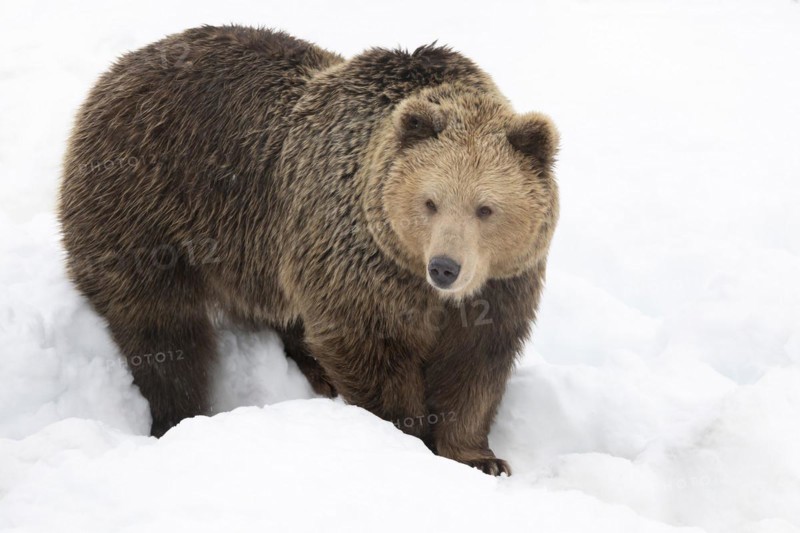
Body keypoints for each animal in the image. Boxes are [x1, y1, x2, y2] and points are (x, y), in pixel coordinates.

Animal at [58, 25, 559, 476]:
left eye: (485, 208)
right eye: (430, 201)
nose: (445, 267)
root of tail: (119, 69)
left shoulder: (501, 285)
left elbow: (476, 363)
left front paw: (479, 458)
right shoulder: (360, 262)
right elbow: (368, 349)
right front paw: (405, 435)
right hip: (148, 208)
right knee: (162, 328)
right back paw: (178, 413)